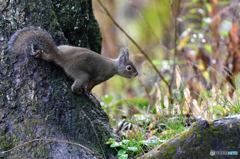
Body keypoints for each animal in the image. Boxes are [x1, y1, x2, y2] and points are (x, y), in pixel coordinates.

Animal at [8, 27, 138, 95]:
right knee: (75, 85)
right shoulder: (99, 77)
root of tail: (63, 57)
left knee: (50, 57)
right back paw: (78, 91)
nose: (136, 74)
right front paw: (88, 93)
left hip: (62, 49)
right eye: (129, 68)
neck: (113, 65)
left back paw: (40, 54)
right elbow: (90, 85)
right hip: (80, 74)